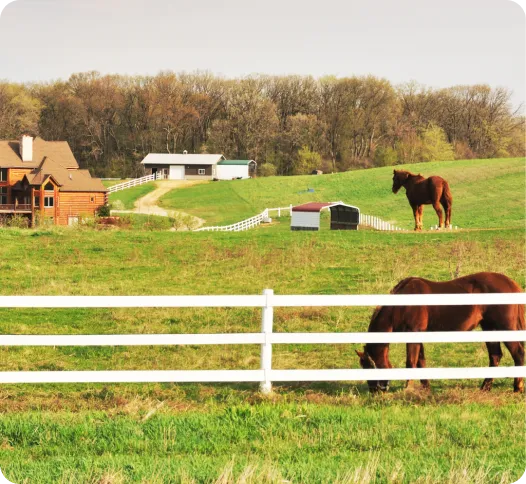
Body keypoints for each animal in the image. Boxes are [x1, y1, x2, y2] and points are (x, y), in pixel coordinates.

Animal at [356, 272, 524, 394]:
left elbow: (411, 362)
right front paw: (425, 388)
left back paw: (517, 387)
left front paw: (408, 389)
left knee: (518, 353)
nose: (374, 391)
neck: (400, 306)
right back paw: (485, 388)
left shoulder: (413, 333)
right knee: (495, 356)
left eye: (368, 367)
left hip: (504, 328)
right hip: (489, 328)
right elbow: (421, 362)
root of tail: (510, 283)